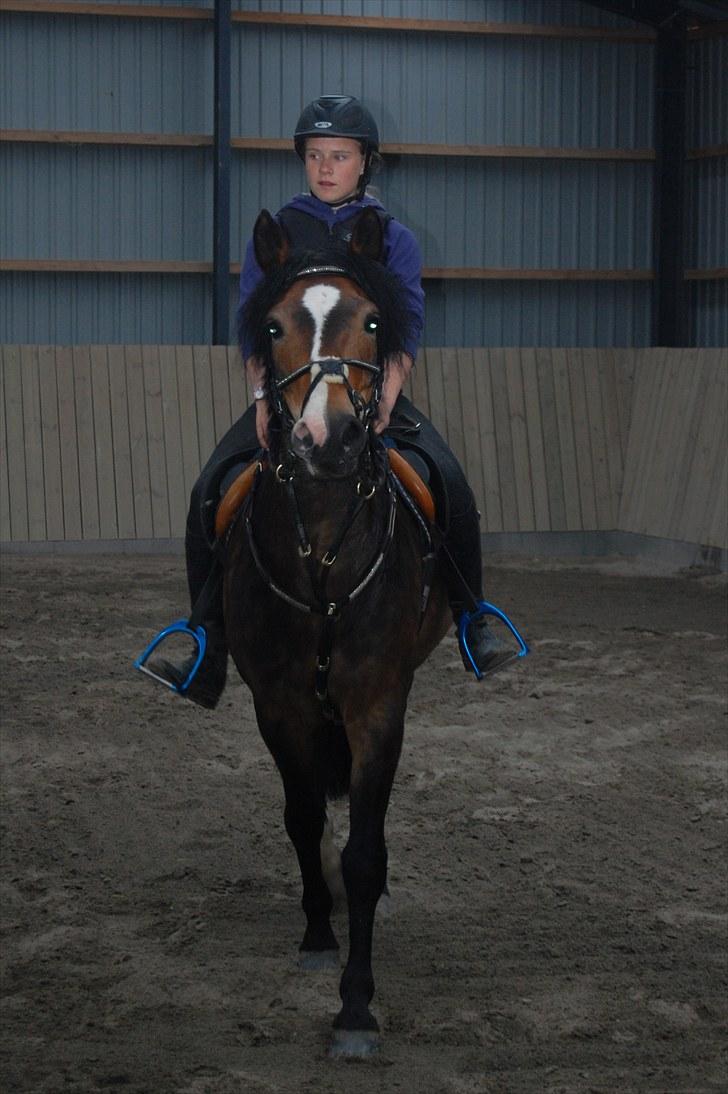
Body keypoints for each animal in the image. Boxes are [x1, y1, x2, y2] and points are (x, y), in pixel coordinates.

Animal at [222, 207, 451, 1057]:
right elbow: (302, 818)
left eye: (375, 320)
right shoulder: (279, 703)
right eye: (274, 324)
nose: (328, 439)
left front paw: (357, 1006)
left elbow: (363, 852)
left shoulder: (379, 702)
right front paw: (321, 936)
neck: (322, 535)